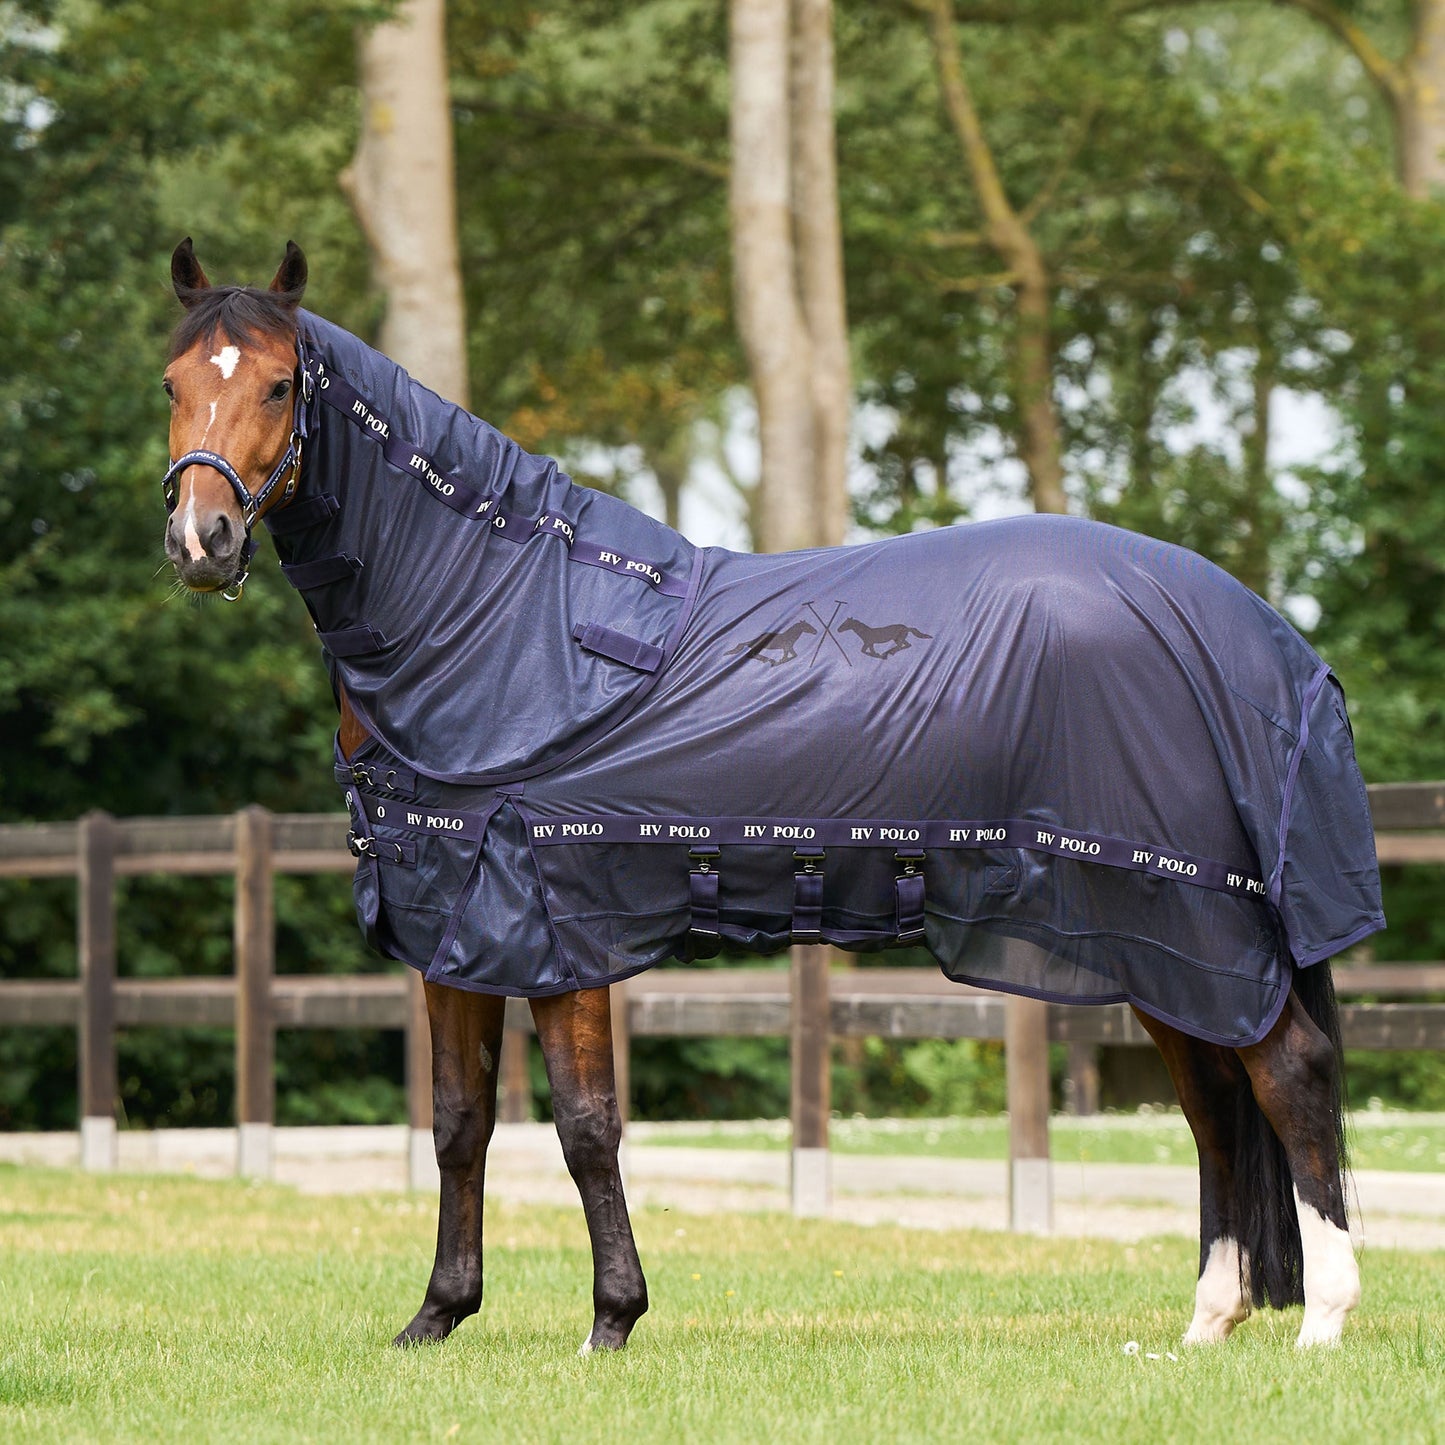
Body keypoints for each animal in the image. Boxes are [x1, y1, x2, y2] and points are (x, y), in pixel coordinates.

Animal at [159, 240, 1383, 1351]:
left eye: (279, 383)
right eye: (172, 383)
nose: (200, 539)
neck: (505, 626)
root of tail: (1258, 635)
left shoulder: (556, 924)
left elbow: (585, 1127)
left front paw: (611, 1320)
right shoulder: (456, 927)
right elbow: (459, 1122)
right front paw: (437, 1315)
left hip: (1189, 919)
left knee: (1288, 1075)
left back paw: (1323, 1318)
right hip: (1154, 938)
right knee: (1216, 1107)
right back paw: (1209, 1320)